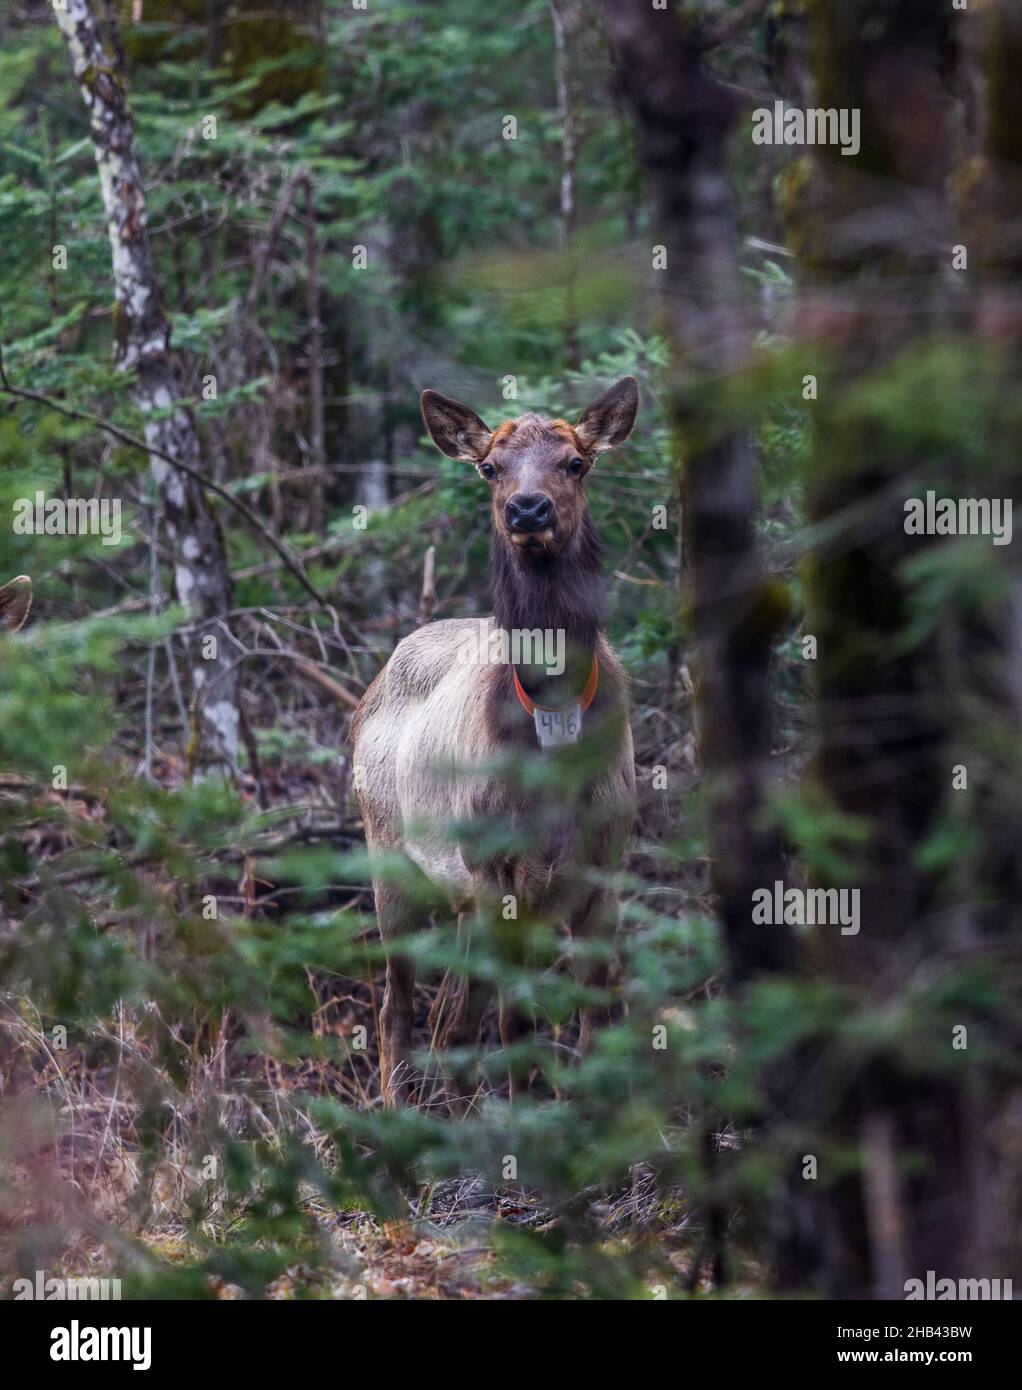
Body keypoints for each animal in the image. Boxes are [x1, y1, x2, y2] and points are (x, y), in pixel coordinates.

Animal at [351, 379, 639, 1105]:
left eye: (576, 462)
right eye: (489, 467)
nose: (527, 508)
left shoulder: (605, 866)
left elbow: (597, 1024)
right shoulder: (498, 870)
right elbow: (516, 1026)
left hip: (460, 897)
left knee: (451, 1014)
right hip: (391, 859)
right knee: (399, 1009)